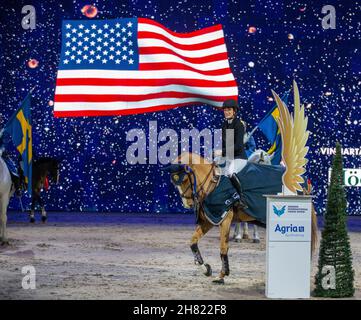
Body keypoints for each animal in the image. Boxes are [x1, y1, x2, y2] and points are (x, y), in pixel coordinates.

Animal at [165, 152, 316, 284]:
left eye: (184, 179)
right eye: (174, 182)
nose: (188, 204)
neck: (212, 185)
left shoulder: (224, 219)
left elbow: (223, 248)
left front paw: (221, 276)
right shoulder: (209, 220)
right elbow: (192, 243)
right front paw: (206, 269)